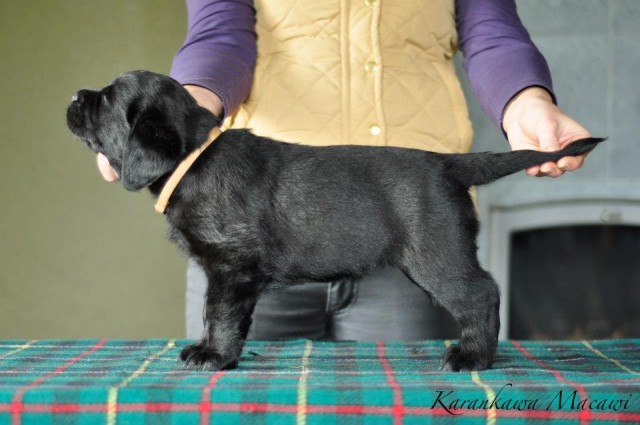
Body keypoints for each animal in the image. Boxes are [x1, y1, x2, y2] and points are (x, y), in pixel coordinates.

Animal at [66, 70, 604, 371]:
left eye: (107, 99)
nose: (73, 96)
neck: (194, 159)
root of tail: (449, 163)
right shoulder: (232, 274)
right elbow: (228, 317)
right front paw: (223, 352)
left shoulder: (231, 266)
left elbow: (217, 314)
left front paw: (212, 356)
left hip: (438, 255)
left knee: (482, 293)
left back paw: (472, 358)